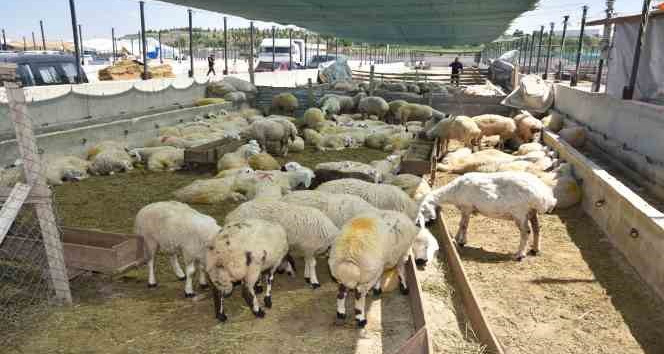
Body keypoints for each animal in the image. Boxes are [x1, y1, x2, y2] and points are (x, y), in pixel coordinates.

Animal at [420, 171, 556, 260]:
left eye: (422, 210)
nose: (422, 224)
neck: (453, 191)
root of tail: (544, 195)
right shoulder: (466, 209)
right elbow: (461, 224)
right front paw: (457, 238)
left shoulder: (467, 207)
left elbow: (464, 225)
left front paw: (461, 241)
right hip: (532, 211)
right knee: (537, 228)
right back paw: (535, 249)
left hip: (520, 212)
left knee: (526, 231)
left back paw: (519, 254)